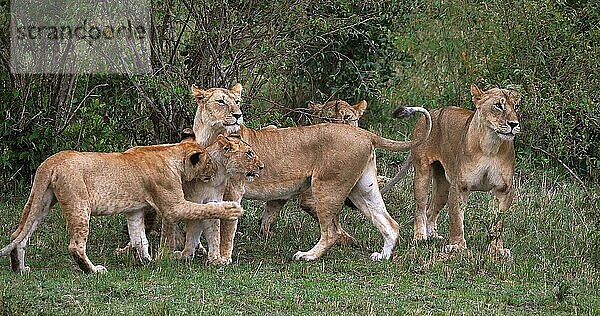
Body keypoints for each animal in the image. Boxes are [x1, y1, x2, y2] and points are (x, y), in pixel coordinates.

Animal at [0, 142, 244, 272]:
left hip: (40, 202)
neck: (172, 154)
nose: (215, 171)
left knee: (18, 234)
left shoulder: (134, 211)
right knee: (75, 245)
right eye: (210, 162)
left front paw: (148, 261)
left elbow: (139, 239)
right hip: (79, 204)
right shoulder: (173, 206)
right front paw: (232, 208)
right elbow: (204, 208)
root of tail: (51, 162)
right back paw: (93, 270)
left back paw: (20, 268)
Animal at [162, 131, 262, 264]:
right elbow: (191, 230)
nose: (262, 167)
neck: (219, 175)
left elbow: (212, 232)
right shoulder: (193, 203)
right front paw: (183, 254)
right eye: (249, 153)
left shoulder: (212, 203)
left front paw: (214, 258)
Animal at [190, 84, 428, 262]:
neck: (209, 136)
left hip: (327, 186)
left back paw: (307, 256)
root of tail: (365, 133)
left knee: (332, 232)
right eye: (221, 101)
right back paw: (382, 256)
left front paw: (222, 258)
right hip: (362, 189)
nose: (238, 115)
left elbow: (226, 228)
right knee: (390, 224)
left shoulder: (233, 192)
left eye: (237, 101)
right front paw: (199, 248)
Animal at [408, 84, 520, 256]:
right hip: (422, 174)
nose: (514, 124)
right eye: (498, 105)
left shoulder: (504, 189)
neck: (490, 146)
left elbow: (498, 223)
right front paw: (457, 246)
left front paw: (497, 249)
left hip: (443, 187)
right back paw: (420, 237)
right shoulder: (459, 187)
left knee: (430, 210)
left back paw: (433, 236)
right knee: (420, 209)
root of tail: (432, 111)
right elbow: (456, 220)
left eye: (516, 106)